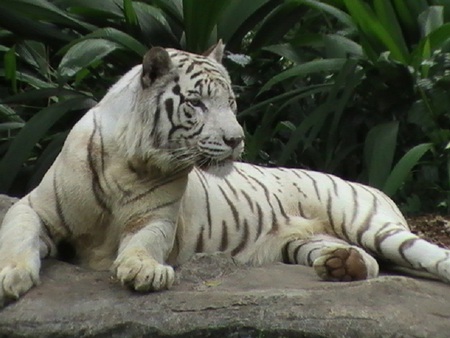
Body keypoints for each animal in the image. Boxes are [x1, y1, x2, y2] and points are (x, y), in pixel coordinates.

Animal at [0, 42, 450, 306]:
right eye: (196, 103)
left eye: (231, 102)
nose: (237, 140)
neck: (126, 161)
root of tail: (372, 187)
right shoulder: (34, 207)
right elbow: (17, 235)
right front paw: (9, 276)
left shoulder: (157, 220)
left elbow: (144, 243)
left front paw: (143, 270)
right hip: (304, 244)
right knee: (366, 262)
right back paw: (343, 266)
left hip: (371, 224)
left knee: (427, 255)